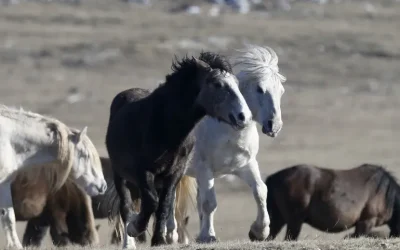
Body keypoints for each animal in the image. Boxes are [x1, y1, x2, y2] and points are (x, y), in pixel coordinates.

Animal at [104, 51, 252, 247]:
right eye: (217, 84)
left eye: (236, 83)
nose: (244, 116)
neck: (166, 126)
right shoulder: (143, 172)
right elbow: (151, 202)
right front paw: (136, 227)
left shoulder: (175, 173)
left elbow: (164, 205)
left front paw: (159, 240)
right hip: (121, 176)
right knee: (126, 207)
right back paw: (129, 241)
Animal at [184, 44, 288, 242]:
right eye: (260, 89)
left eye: (281, 91)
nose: (275, 126)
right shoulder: (205, 170)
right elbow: (209, 203)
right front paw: (209, 236)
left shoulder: (246, 165)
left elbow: (261, 191)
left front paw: (259, 231)